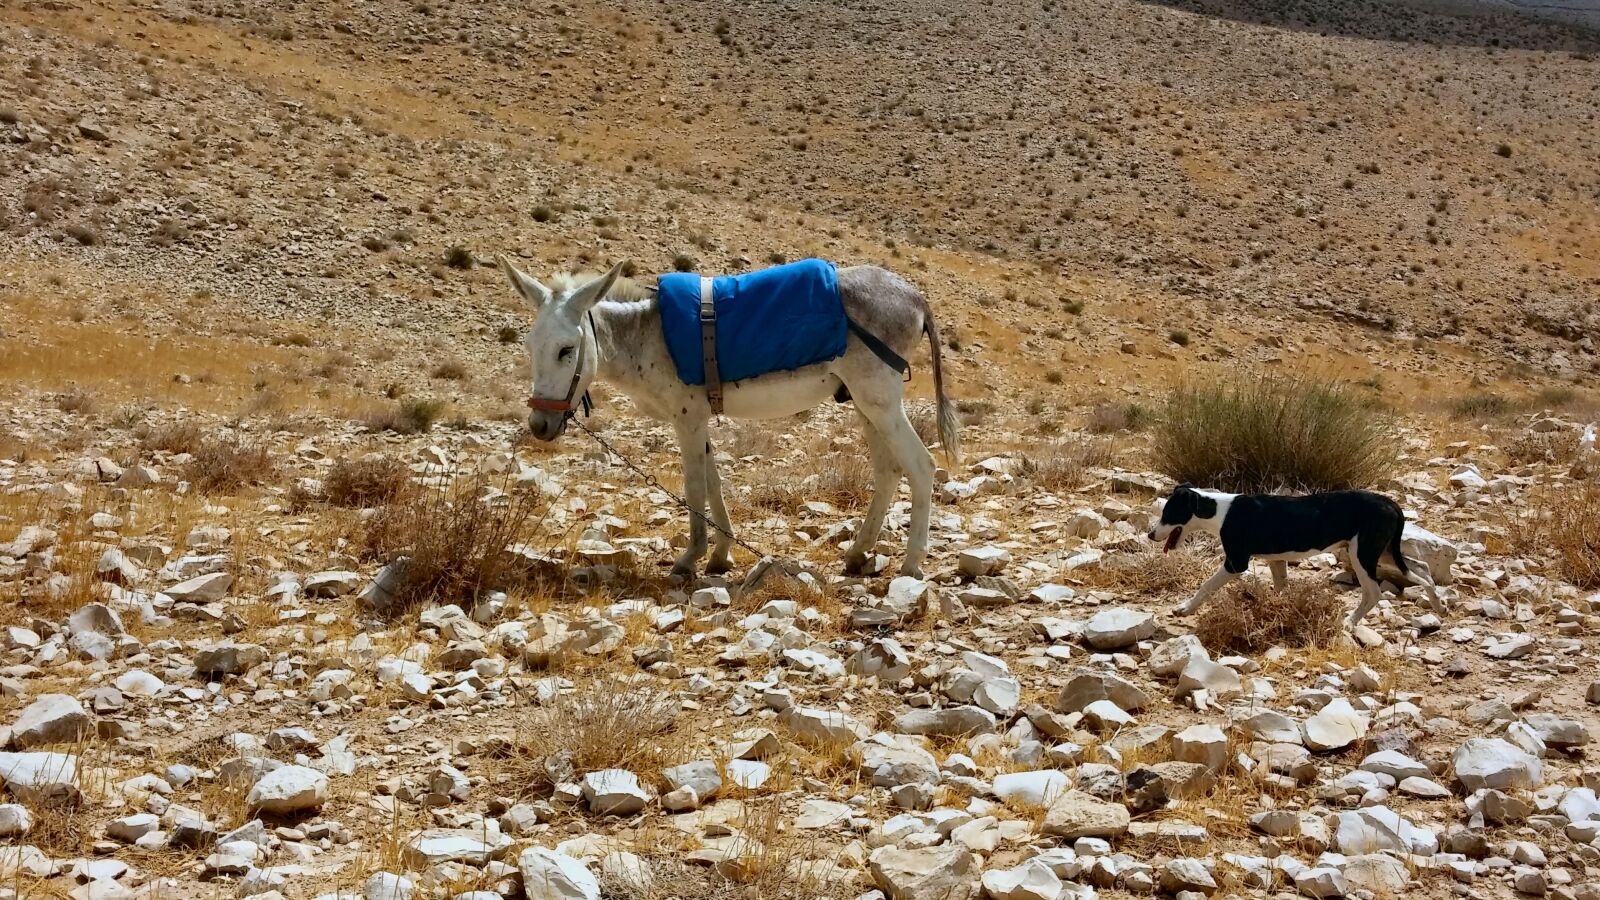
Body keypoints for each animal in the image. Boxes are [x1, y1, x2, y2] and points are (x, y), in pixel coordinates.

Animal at [1145, 483, 1446, 630]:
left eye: (1168, 513)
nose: (1150, 534)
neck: (1218, 510)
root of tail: (1391, 503)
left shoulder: (1235, 562)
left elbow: (1206, 586)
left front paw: (1185, 608)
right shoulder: (1276, 560)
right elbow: (1280, 588)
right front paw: (1277, 612)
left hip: (1362, 553)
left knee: (1374, 592)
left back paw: (1349, 622)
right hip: (1381, 551)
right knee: (1421, 569)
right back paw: (1438, 605)